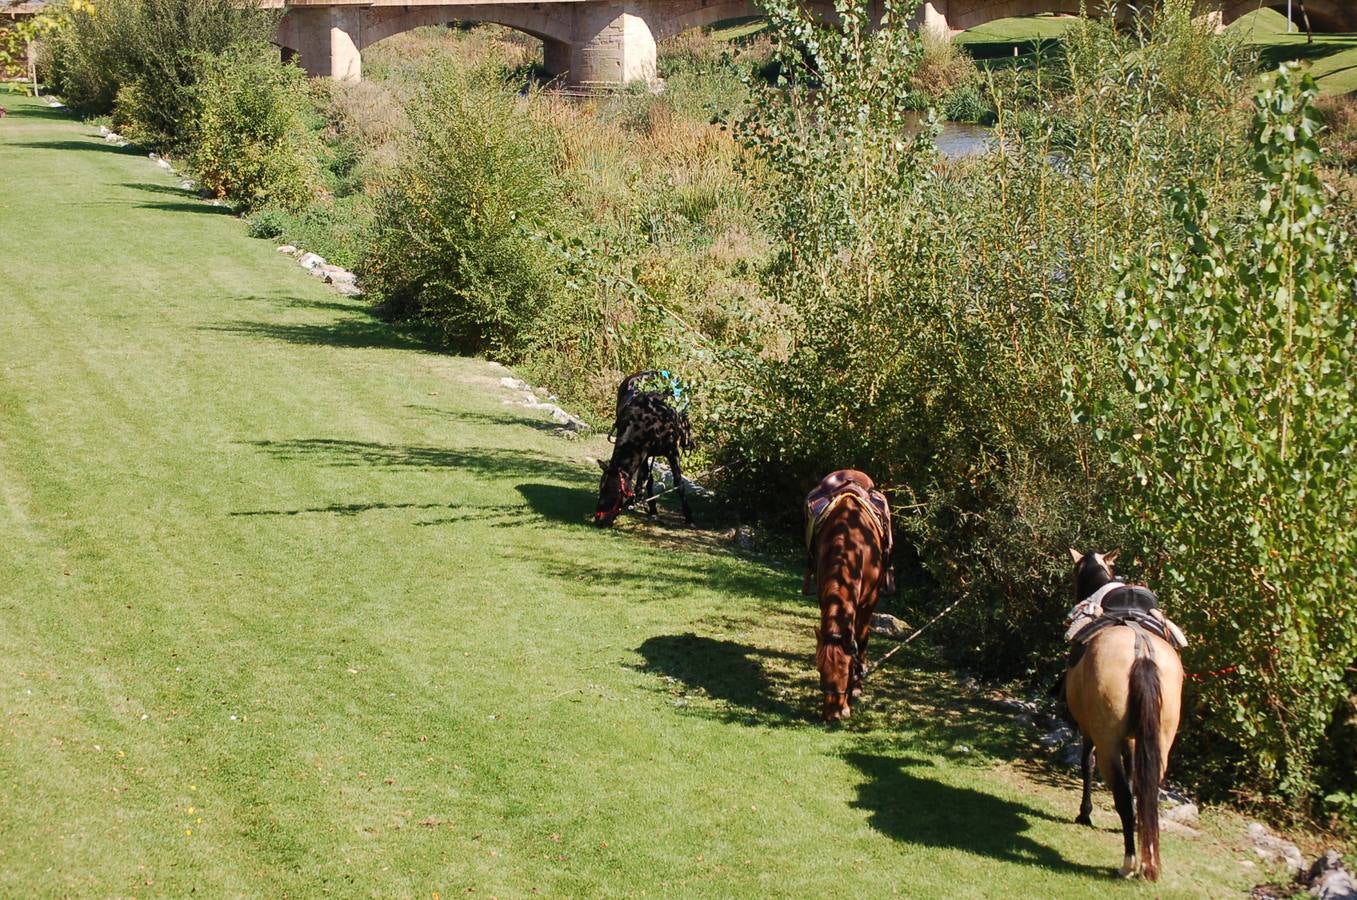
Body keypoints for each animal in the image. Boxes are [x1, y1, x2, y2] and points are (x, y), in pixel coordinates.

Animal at [594, 371, 694, 529]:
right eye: (600, 487)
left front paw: (689, 517)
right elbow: (648, 479)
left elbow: (679, 483)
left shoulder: (672, 451)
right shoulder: (644, 453)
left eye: (616, 491)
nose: (599, 520)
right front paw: (652, 510)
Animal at [803, 466, 890, 722]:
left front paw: (855, 692)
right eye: (820, 668)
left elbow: (860, 641)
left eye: (847, 669)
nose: (832, 715)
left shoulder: (868, 602)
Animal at [1063, 548, 1183, 879]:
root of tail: (1141, 650)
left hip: (1107, 743)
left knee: (1121, 799)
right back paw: (1147, 857)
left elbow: (1086, 764)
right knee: (1147, 791)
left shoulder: (1089, 731)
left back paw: (1129, 861)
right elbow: (1134, 779)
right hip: (1161, 741)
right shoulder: (1134, 739)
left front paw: (1084, 813)